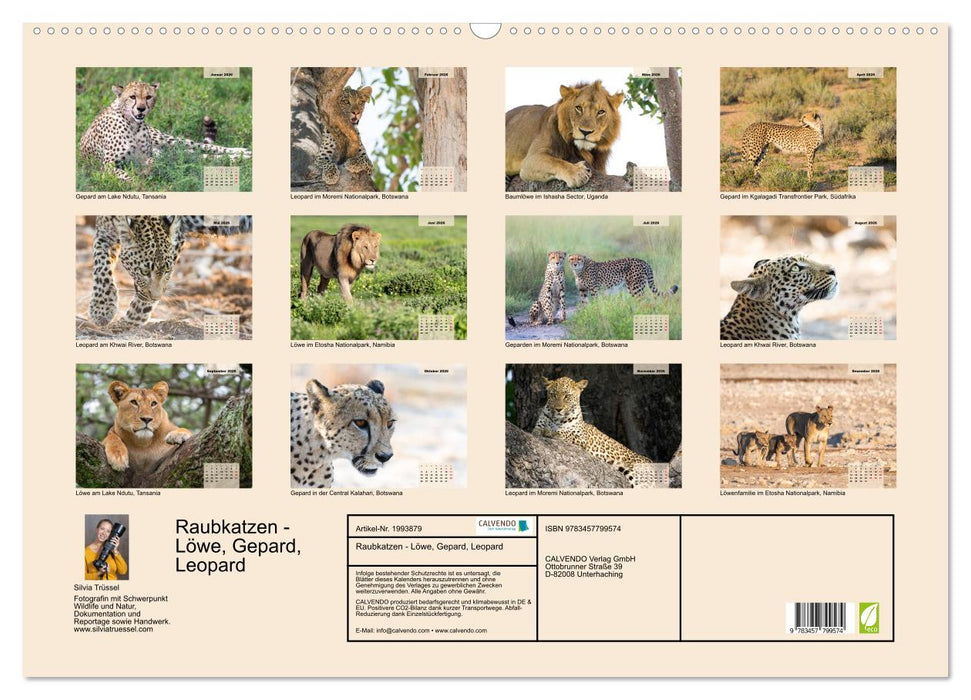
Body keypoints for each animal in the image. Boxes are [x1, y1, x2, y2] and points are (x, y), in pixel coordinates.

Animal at [79, 81, 252, 181]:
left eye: (148, 97)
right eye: (132, 97)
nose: (141, 109)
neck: (133, 124)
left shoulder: (143, 157)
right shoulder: (106, 165)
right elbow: (127, 174)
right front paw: (138, 181)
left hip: (169, 140)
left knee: (208, 147)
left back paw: (243, 152)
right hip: (174, 153)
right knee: (201, 157)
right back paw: (240, 157)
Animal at [88, 215, 253, 329]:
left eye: (167, 270)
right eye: (144, 271)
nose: (156, 298)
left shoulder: (178, 236)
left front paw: (130, 321)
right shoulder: (104, 232)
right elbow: (101, 266)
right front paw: (102, 309)